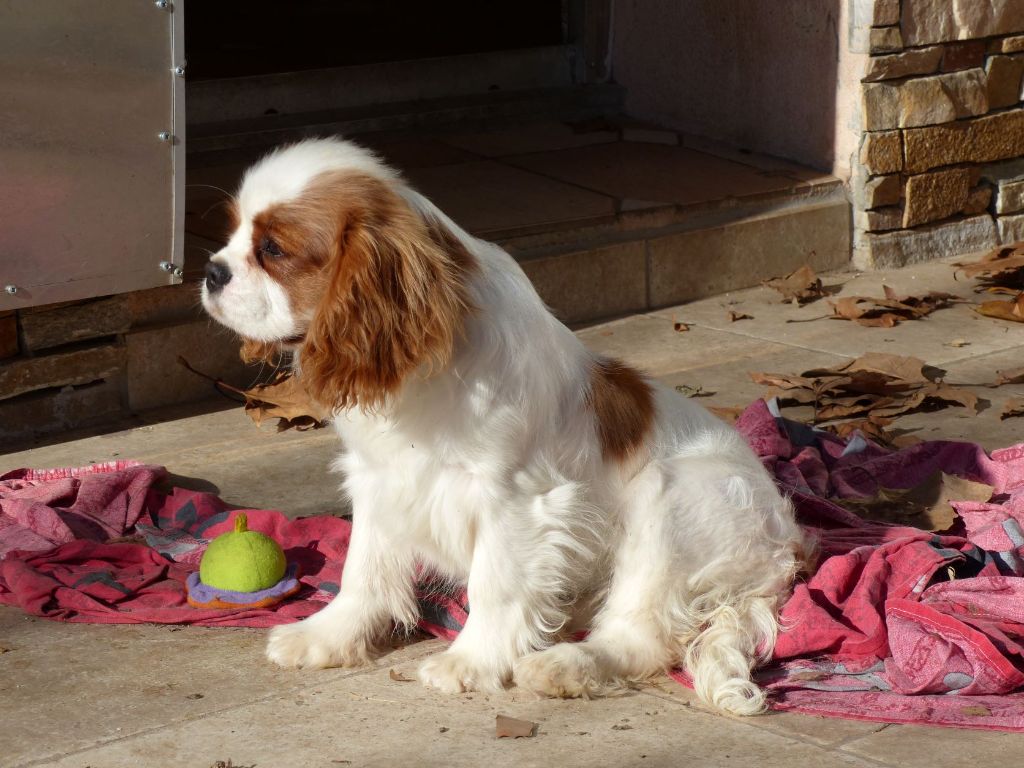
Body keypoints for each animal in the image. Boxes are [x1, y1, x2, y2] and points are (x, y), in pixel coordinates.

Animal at [201, 137, 806, 716]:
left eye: (274, 250)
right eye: (232, 232)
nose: (211, 271)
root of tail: (784, 548)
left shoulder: (515, 500)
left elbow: (495, 584)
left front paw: (470, 661)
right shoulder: (379, 480)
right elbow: (362, 569)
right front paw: (328, 635)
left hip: (670, 503)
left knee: (642, 636)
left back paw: (565, 665)